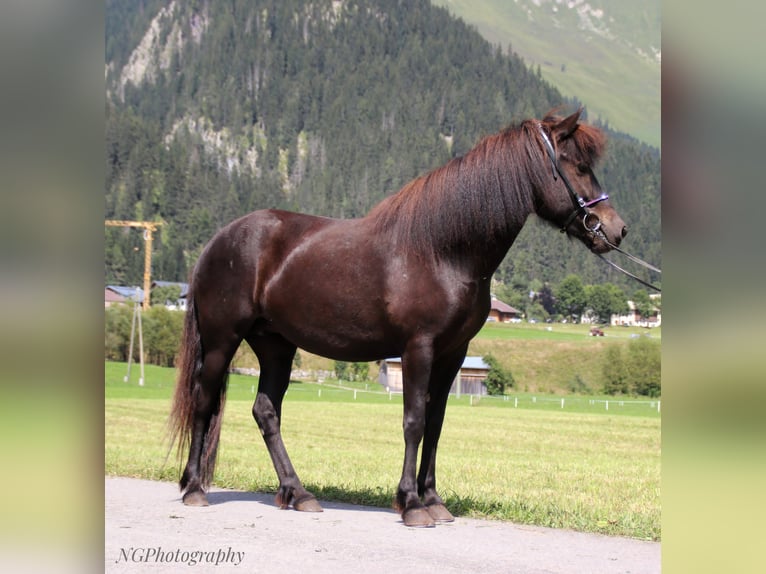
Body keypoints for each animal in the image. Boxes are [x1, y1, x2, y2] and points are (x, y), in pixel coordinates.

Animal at [170, 109, 632, 532]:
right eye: (578, 165)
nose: (616, 229)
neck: (442, 252)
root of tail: (218, 241)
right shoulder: (418, 348)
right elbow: (413, 421)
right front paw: (411, 504)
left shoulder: (452, 353)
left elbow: (436, 423)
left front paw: (434, 500)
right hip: (222, 340)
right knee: (205, 400)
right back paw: (194, 488)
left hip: (276, 346)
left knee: (266, 412)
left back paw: (297, 493)